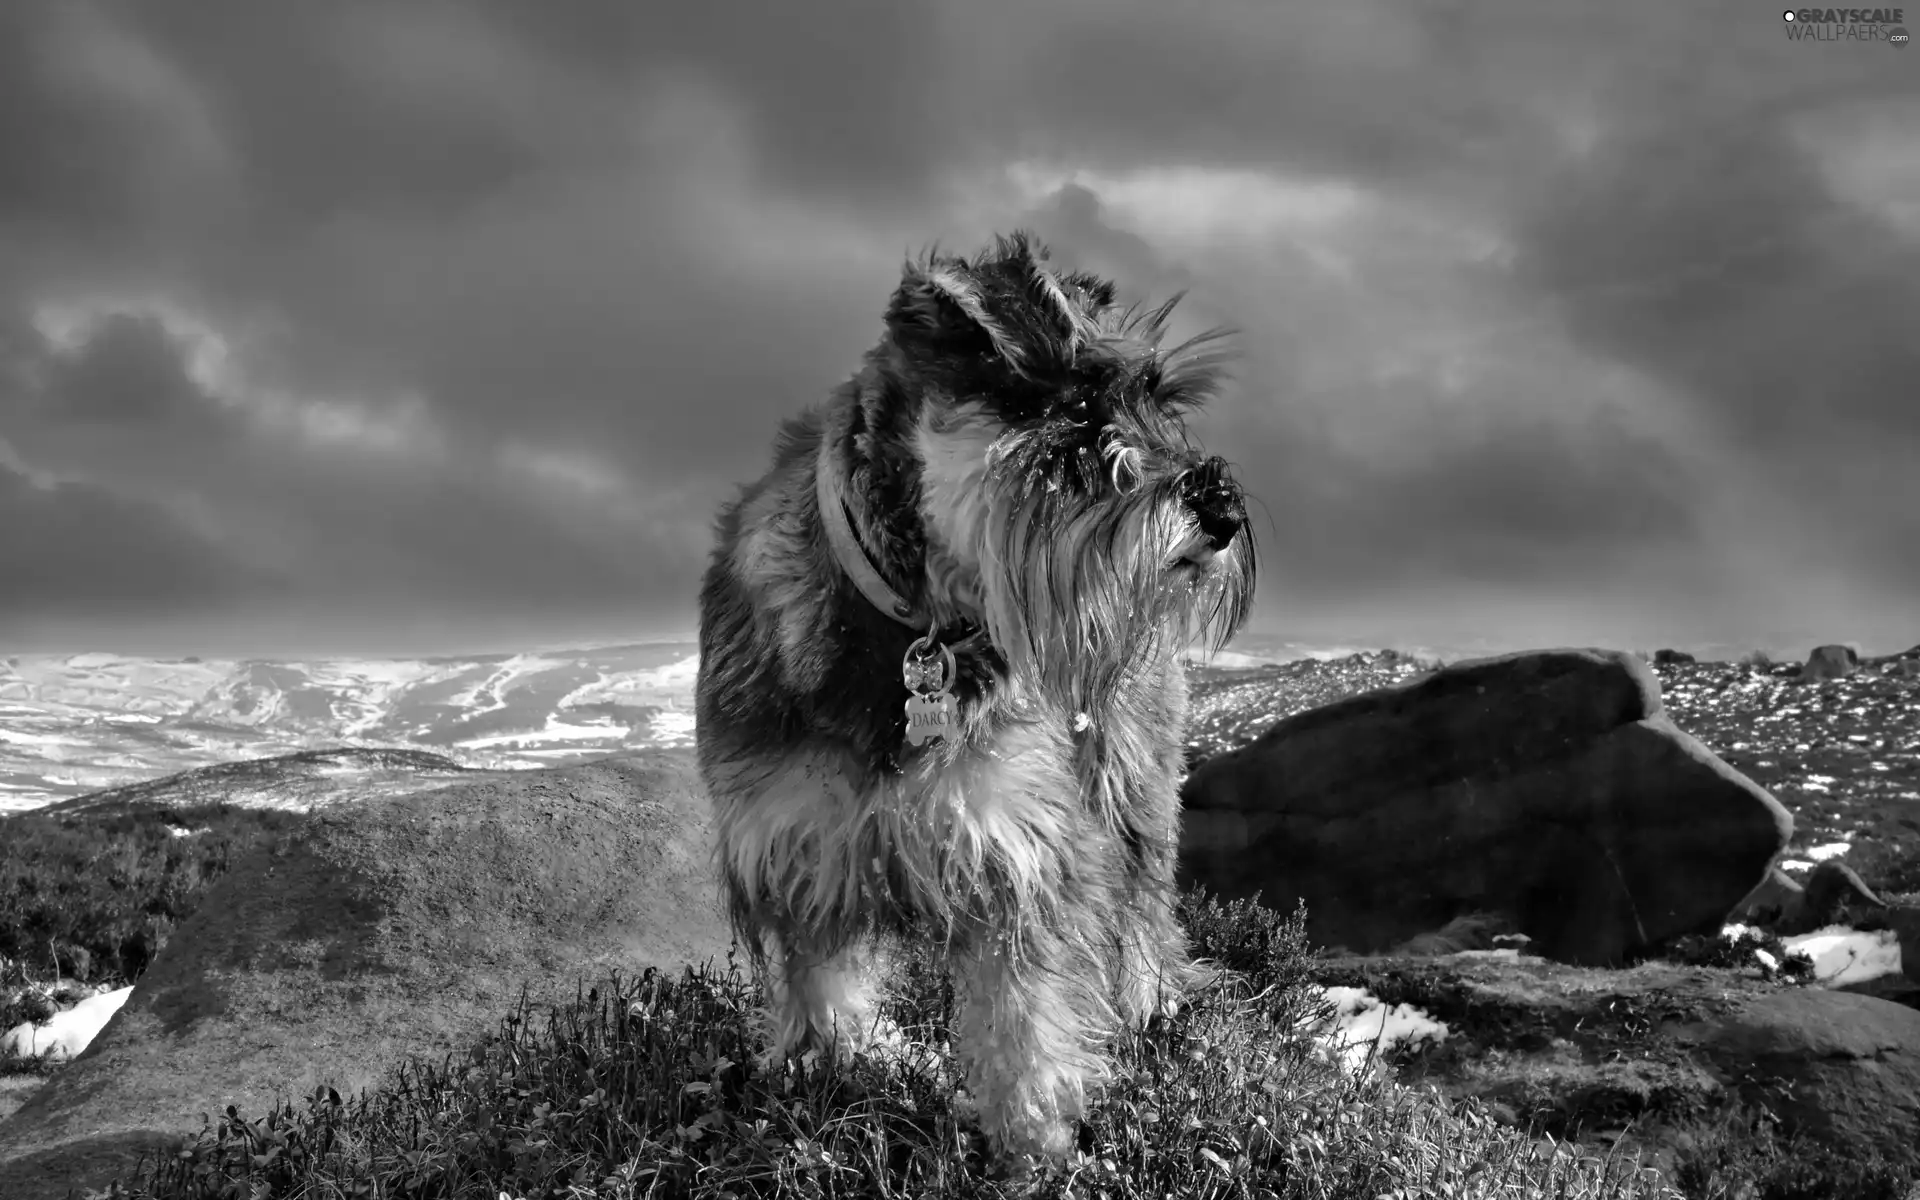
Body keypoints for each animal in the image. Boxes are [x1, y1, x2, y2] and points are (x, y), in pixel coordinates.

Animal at [698, 229, 1251, 1167]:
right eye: (1074, 407)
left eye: (1157, 398)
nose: (1220, 507)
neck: (909, 628)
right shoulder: (796, 847)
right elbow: (821, 988)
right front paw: (826, 1079)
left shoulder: (1017, 851)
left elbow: (1024, 1023)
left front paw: (1035, 1148)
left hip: (1129, 778)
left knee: (1143, 903)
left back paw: (1149, 1005)